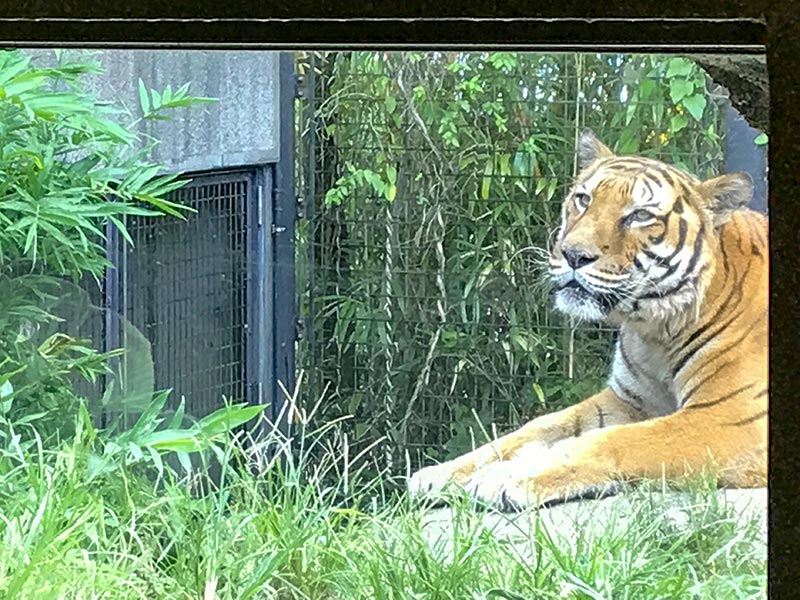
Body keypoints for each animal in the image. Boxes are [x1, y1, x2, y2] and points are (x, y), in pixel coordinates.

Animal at [410, 127, 764, 510]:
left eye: (640, 215)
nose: (573, 255)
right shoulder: (627, 400)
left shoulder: (731, 419)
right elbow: (533, 429)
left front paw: (509, 477)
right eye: (583, 199)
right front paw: (440, 474)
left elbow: (615, 441)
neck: (654, 332)